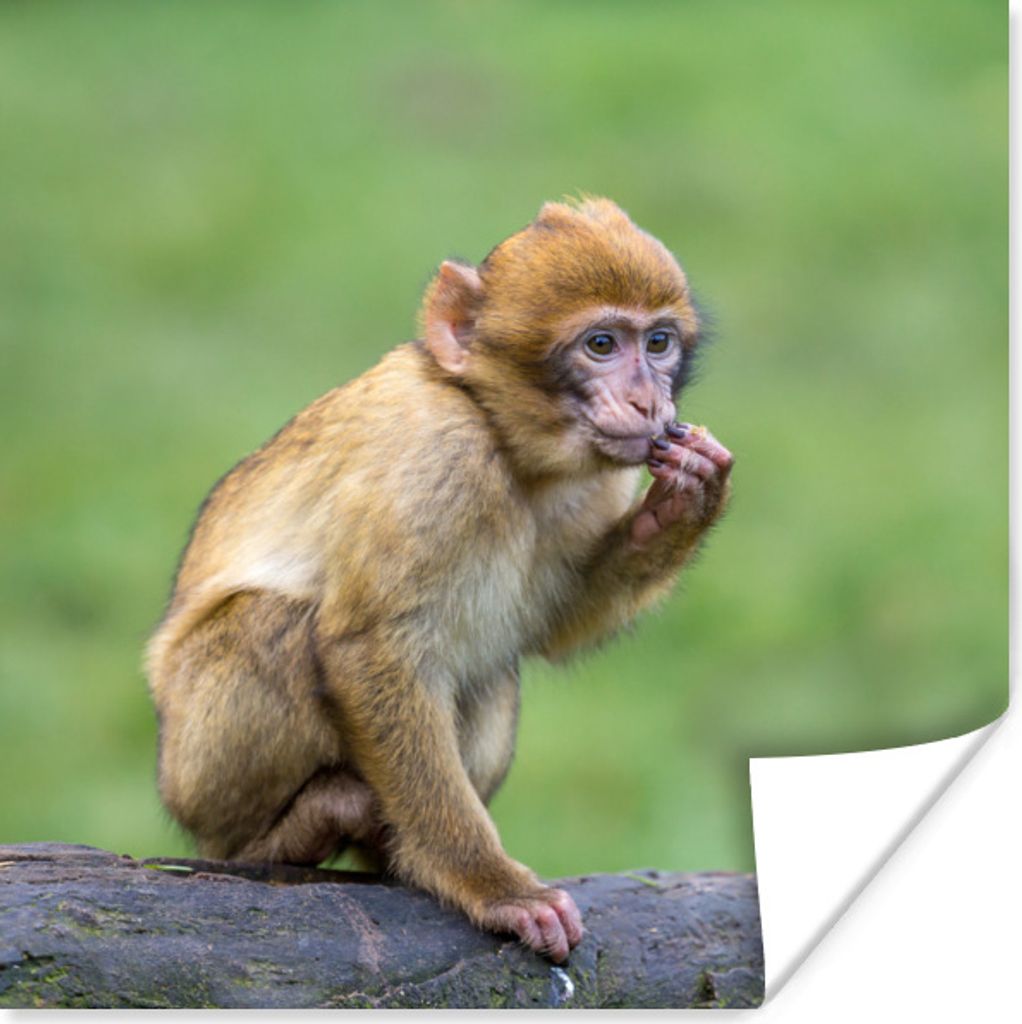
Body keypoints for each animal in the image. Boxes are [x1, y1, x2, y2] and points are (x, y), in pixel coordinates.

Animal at [145, 196, 733, 964]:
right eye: (602, 345)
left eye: (658, 342)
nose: (646, 402)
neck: (501, 435)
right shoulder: (436, 461)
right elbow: (371, 649)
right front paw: (490, 884)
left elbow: (551, 628)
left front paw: (686, 501)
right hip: (195, 775)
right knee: (267, 625)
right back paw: (287, 838)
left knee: (492, 668)